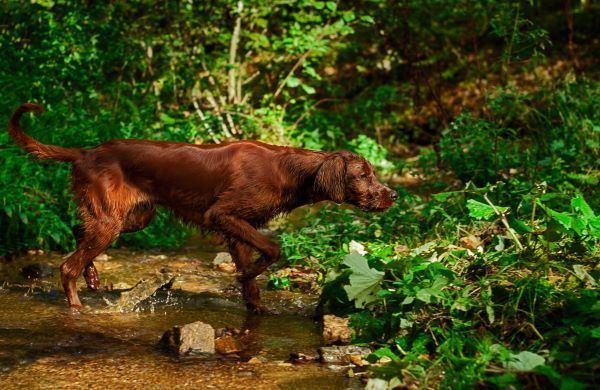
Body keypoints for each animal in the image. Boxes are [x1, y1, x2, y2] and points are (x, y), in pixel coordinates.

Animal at [9, 103, 398, 310]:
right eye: (363, 174)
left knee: (78, 232)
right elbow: (273, 248)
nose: (392, 195)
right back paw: (76, 305)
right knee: (66, 265)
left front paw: (254, 303)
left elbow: (253, 275)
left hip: (131, 217)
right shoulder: (223, 215)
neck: (290, 170)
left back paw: (92, 276)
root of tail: (86, 152)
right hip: (112, 222)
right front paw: (246, 275)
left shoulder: (238, 226)